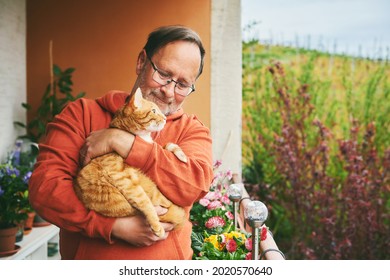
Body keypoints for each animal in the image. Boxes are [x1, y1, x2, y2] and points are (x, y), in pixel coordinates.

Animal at [75, 87, 189, 236]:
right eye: (154, 111)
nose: (165, 118)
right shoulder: (123, 179)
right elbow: (145, 201)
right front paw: (156, 225)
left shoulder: (154, 146)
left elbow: (166, 145)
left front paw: (182, 155)